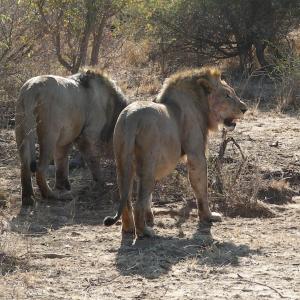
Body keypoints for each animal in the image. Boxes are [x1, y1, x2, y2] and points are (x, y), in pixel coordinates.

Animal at [14, 70, 127, 206]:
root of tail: (32, 88)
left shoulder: (65, 139)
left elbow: (62, 162)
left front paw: (63, 186)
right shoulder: (87, 136)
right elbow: (93, 160)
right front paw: (100, 183)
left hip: (21, 124)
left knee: (24, 164)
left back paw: (28, 199)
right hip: (49, 133)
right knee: (40, 169)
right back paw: (52, 195)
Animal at [104, 67, 247, 238]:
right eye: (227, 95)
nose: (245, 108)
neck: (200, 103)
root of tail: (130, 117)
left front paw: (150, 217)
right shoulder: (196, 153)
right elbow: (201, 187)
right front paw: (209, 216)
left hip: (123, 161)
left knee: (126, 198)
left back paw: (129, 228)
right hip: (148, 164)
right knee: (138, 202)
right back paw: (145, 231)